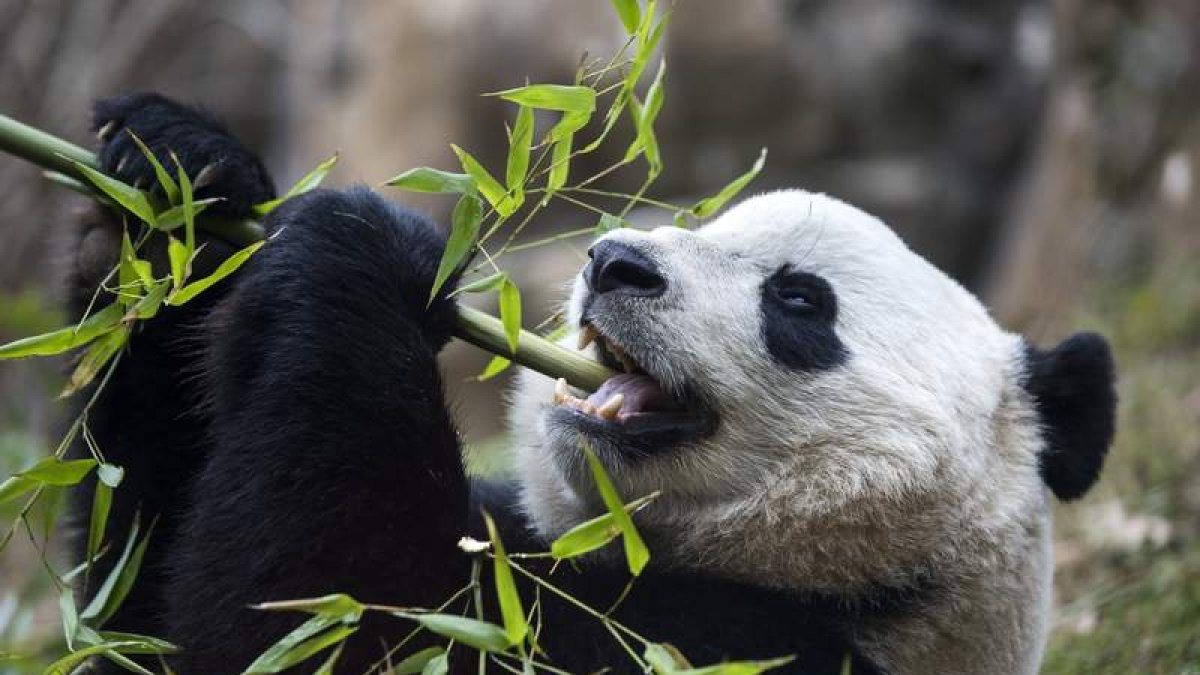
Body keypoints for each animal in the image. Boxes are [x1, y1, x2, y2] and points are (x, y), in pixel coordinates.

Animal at [62, 93, 1116, 675]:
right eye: (703, 222)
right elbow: (131, 600)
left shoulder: (729, 649)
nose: (616, 261)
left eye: (800, 299)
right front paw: (181, 177)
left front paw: (367, 250)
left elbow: (338, 614)